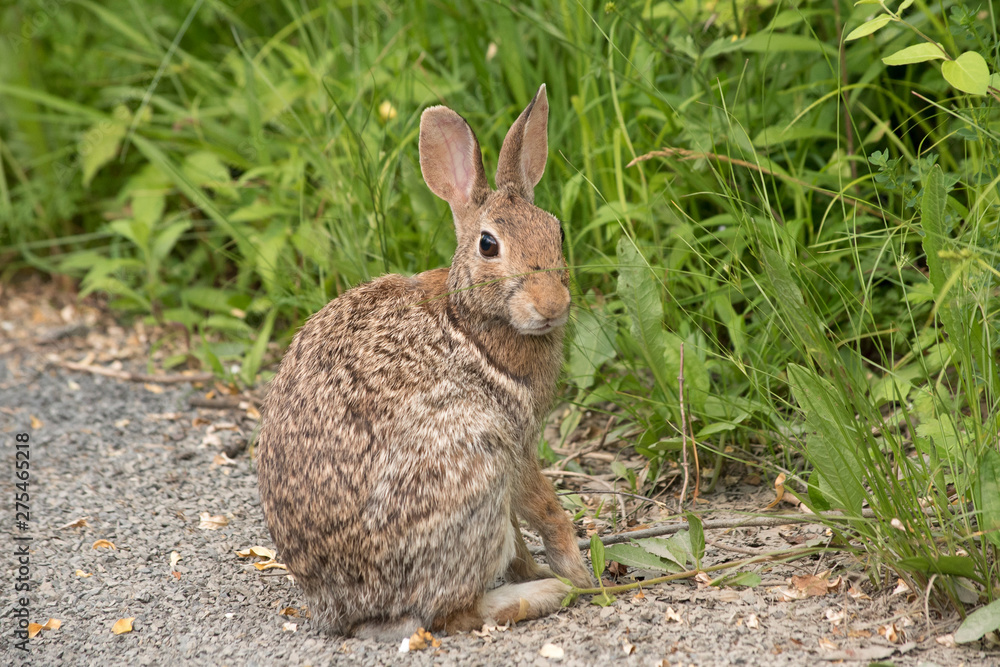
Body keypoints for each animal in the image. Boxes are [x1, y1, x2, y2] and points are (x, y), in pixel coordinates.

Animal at [256, 83, 593, 641]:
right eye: (488, 245)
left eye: (559, 231)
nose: (551, 305)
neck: (472, 316)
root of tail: (340, 605)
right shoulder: (515, 444)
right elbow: (546, 511)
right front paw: (582, 576)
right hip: (470, 463)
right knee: (451, 613)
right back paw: (545, 593)